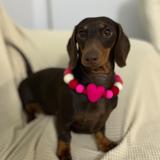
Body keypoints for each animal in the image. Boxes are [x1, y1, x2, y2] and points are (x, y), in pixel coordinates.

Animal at [18, 17, 130, 160]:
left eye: (107, 31)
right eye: (81, 33)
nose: (90, 57)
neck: (96, 81)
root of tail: (29, 75)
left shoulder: (103, 118)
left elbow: (100, 131)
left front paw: (105, 143)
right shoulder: (63, 119)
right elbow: (65, 136)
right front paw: (64, 152)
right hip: (27, 101)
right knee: (29, 111)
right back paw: (31, 120)